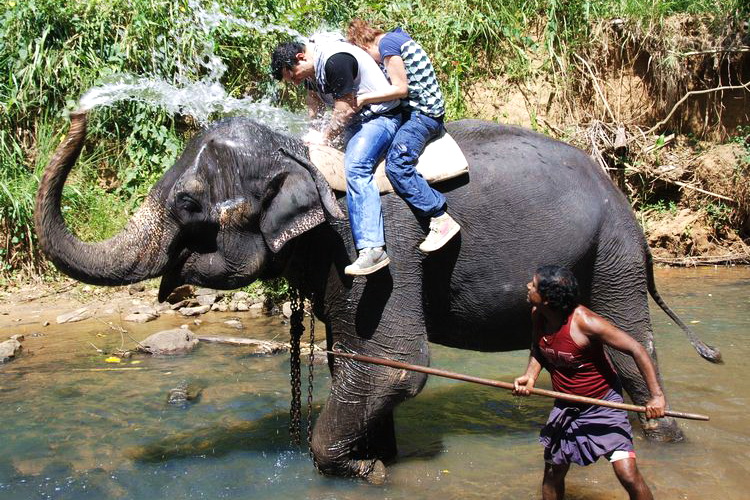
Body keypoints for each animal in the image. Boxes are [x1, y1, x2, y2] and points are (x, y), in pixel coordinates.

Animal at [35, 112, 724, 480]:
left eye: (186, 203)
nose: (77, 117)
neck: (302, 154)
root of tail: (624, 198)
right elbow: (360, 360)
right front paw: (377, 456)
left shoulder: (376, 239)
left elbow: (394, 360)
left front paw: (360, 470)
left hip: (612, 254)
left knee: (629, 346)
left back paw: (662, 442)